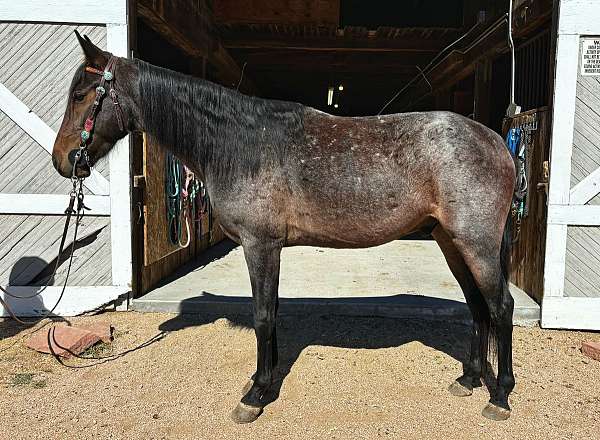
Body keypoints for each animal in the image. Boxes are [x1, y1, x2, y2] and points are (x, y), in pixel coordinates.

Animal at [52, 32, 516, 424]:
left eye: (80, 95)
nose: (63, 160)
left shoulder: (260, 244)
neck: (239, 144)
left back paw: (500, 397)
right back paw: (469, 380)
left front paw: (255, 395)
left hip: (475, 244)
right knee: (478, 306)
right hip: (450, 241)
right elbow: (272, 312)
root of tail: (497, 142)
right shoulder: (267, 248)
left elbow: (262, 315)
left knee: (501, 308)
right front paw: (264, 380)